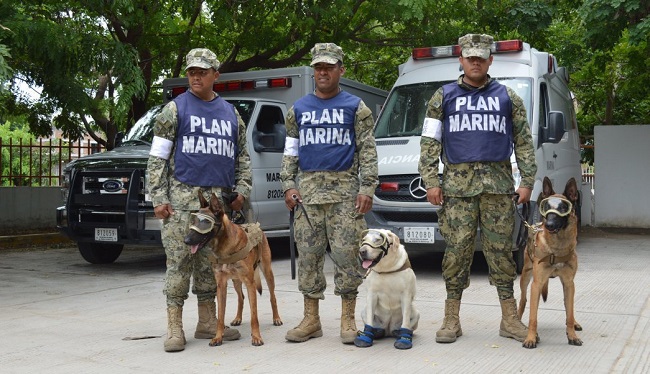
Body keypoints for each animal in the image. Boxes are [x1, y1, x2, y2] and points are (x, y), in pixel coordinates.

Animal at [184, 191, 282, 346]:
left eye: (205, 223)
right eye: (193, 222)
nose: (186, 241)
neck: (224, 247)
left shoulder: (250, 283)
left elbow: (254, 315)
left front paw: (256, 337)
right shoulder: (221, 286)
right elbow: (220, 315)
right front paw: (218, 337)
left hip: (267, 272)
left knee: (273, 297)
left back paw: (276, 318)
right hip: (236, 281)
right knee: (241, 297)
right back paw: (238, 318)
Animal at [516, 177, 584, 350]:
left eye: (563, 208)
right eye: (546, 207)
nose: (549, 225)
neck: (557, 249)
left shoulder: (569, 283)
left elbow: (569, 312)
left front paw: (572, 336)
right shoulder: (537, 284)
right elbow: (533, 317)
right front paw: (530, 338)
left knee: (568, 307)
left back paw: (575, 323)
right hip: (525, 277)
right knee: (523, 300)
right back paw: (517, 319)